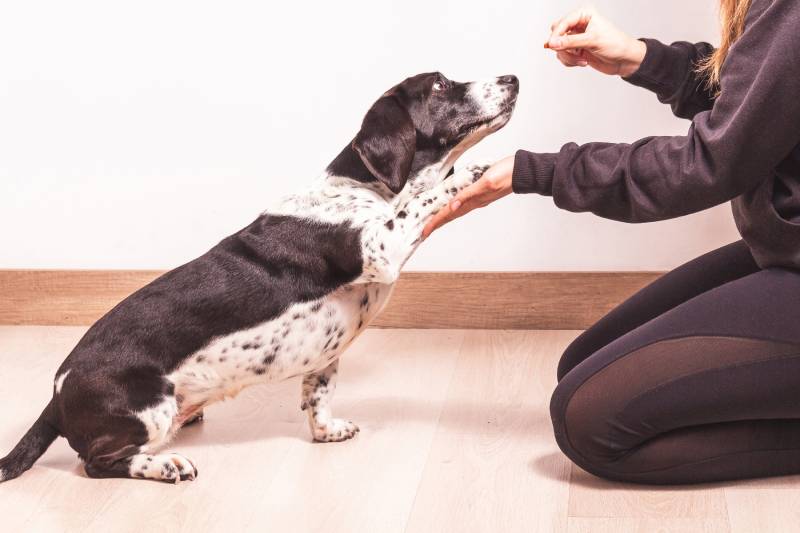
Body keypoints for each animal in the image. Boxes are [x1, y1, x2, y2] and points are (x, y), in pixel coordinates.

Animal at [0, 70, 520, 482]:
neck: (366, 188)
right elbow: (424, 201)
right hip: (149, 410)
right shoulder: (381, 246)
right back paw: (165, 466)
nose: (513, 78)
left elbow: (319, 394)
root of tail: (57, 394)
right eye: (440, 84)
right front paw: (469, 172)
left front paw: (328, 431)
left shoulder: (327, 353)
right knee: (97, 462)